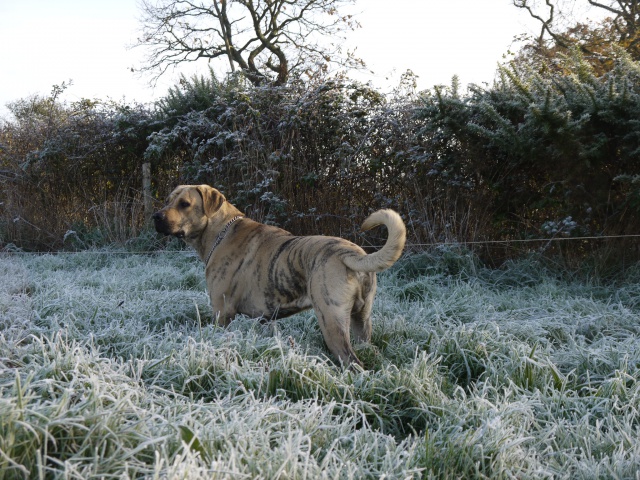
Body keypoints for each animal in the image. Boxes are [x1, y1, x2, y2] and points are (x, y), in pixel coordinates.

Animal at [153, 186, 404, 366]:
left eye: (184, 204)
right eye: (167, 200)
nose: (156, 216)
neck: (219, 231)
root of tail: (351, 253)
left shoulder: (222, 312)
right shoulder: (265, 317)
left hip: (331, 320)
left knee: (352, 361)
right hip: (362, 320)